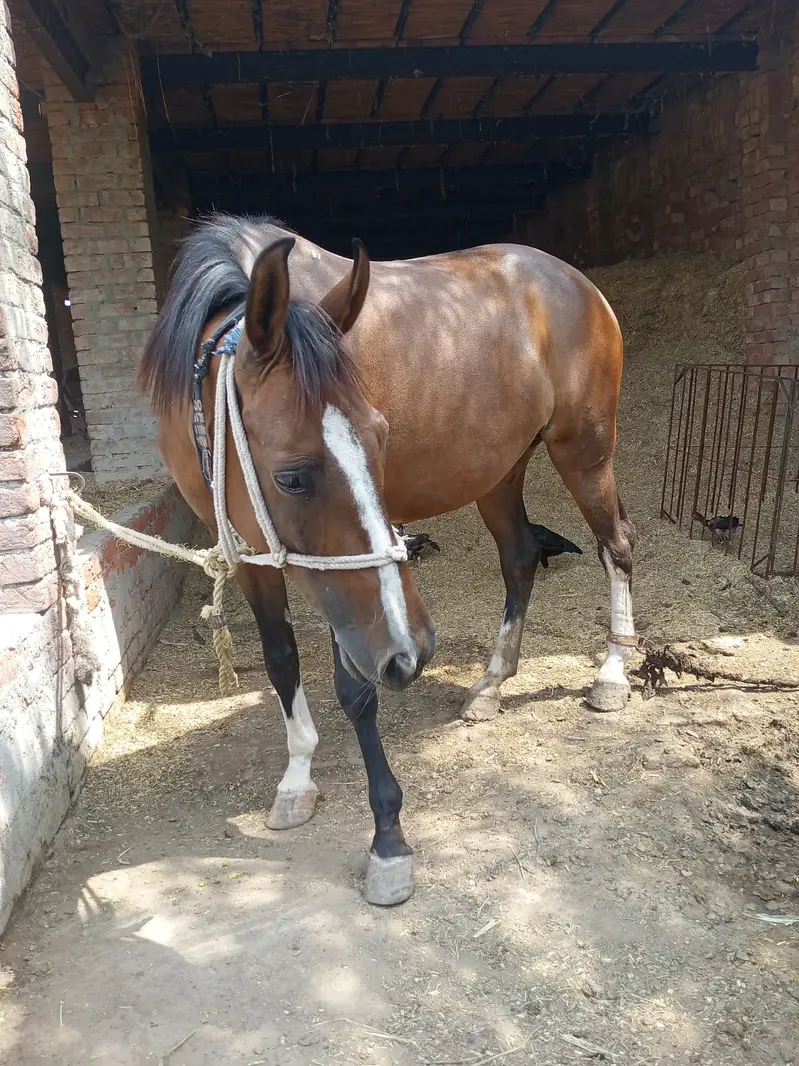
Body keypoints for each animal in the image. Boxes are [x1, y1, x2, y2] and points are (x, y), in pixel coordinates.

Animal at [139, 214, 636, 906]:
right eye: (292, 476)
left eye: (381, 439)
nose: (418, 649)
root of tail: (577, 284)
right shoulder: (253, 552)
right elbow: (281, 660)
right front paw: (297, 779)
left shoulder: (351, 597)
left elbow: (356, 688)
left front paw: (388, 840)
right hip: (500, 471)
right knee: (518, 559)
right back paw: (491, 683)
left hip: (584, 452)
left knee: (616, 546)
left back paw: (612, 673)